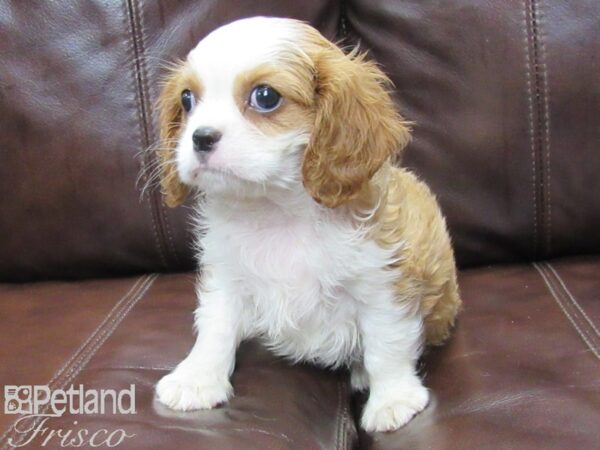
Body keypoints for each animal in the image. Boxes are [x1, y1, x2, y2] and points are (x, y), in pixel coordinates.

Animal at [155, 16, 460, 432]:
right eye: (187, 100)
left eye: (265, 96)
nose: (200, 137)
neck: (278, 211)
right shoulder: (227, 277)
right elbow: (215, 327)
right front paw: (197, 379)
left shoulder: (382, 284)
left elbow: (386, 344)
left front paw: (393, 399)